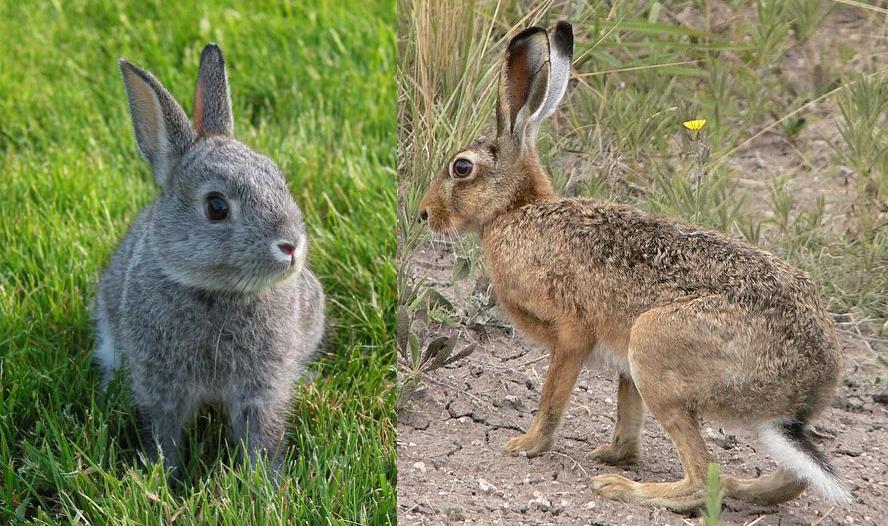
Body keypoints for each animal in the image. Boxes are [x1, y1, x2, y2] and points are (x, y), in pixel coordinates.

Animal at [95, 44, 324, 474]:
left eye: (278, 178)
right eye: (216, 206)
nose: (291, 246)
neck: (216, 293)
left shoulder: (261, 388)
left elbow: (261, 436)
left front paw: (264, 482)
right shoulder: (160, 385)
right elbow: (164, 435)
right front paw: (161, 477)